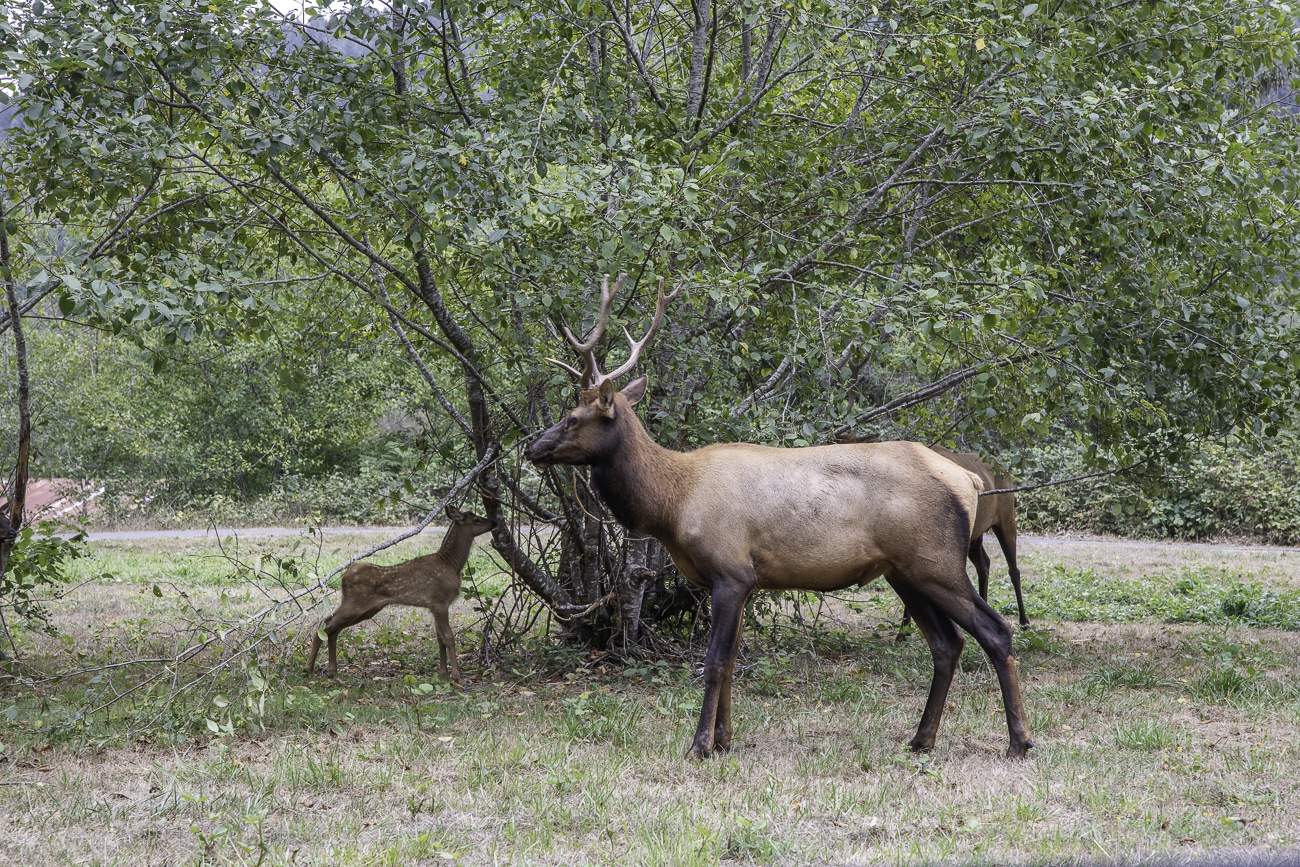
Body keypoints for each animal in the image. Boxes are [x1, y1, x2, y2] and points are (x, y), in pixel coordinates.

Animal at [306, 509, 499, 686]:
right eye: (477, 519)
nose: (494, 522)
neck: (451, 564)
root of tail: (344, 576)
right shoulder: (439, 601)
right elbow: (449, 637)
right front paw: (457, 676)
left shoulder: (434, 605)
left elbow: (440, 639)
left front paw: (443, 674)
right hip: (355, 603)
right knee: (325, 624)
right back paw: (308, 669)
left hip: (365, 609)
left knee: (332, 629)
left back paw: (332, 672)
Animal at [527, 276, 1034, 759]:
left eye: (573, 418)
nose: (532, 447)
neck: (672, 505)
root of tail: (969, 480)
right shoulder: (744, 580)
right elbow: (732, 661)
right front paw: (724, 740)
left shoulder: (731, 571)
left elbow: (713, 662)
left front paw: (698, 745)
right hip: (903, 571)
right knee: (947, 644)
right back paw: (921, 739)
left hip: (936, 560)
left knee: (995, 631)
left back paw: (1018, 741)